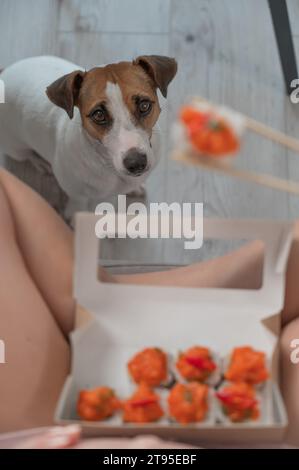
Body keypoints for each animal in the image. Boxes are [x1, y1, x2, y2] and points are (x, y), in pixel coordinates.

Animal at [0, 54, 178, 216]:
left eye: (144, 105)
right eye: (98, 114)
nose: (136, 163)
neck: (109, 167)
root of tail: (5, 73)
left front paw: (134, 188)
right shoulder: (76, 193)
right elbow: (78, 205)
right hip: (16, 147)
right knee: (27, 155)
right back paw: (40, 163)